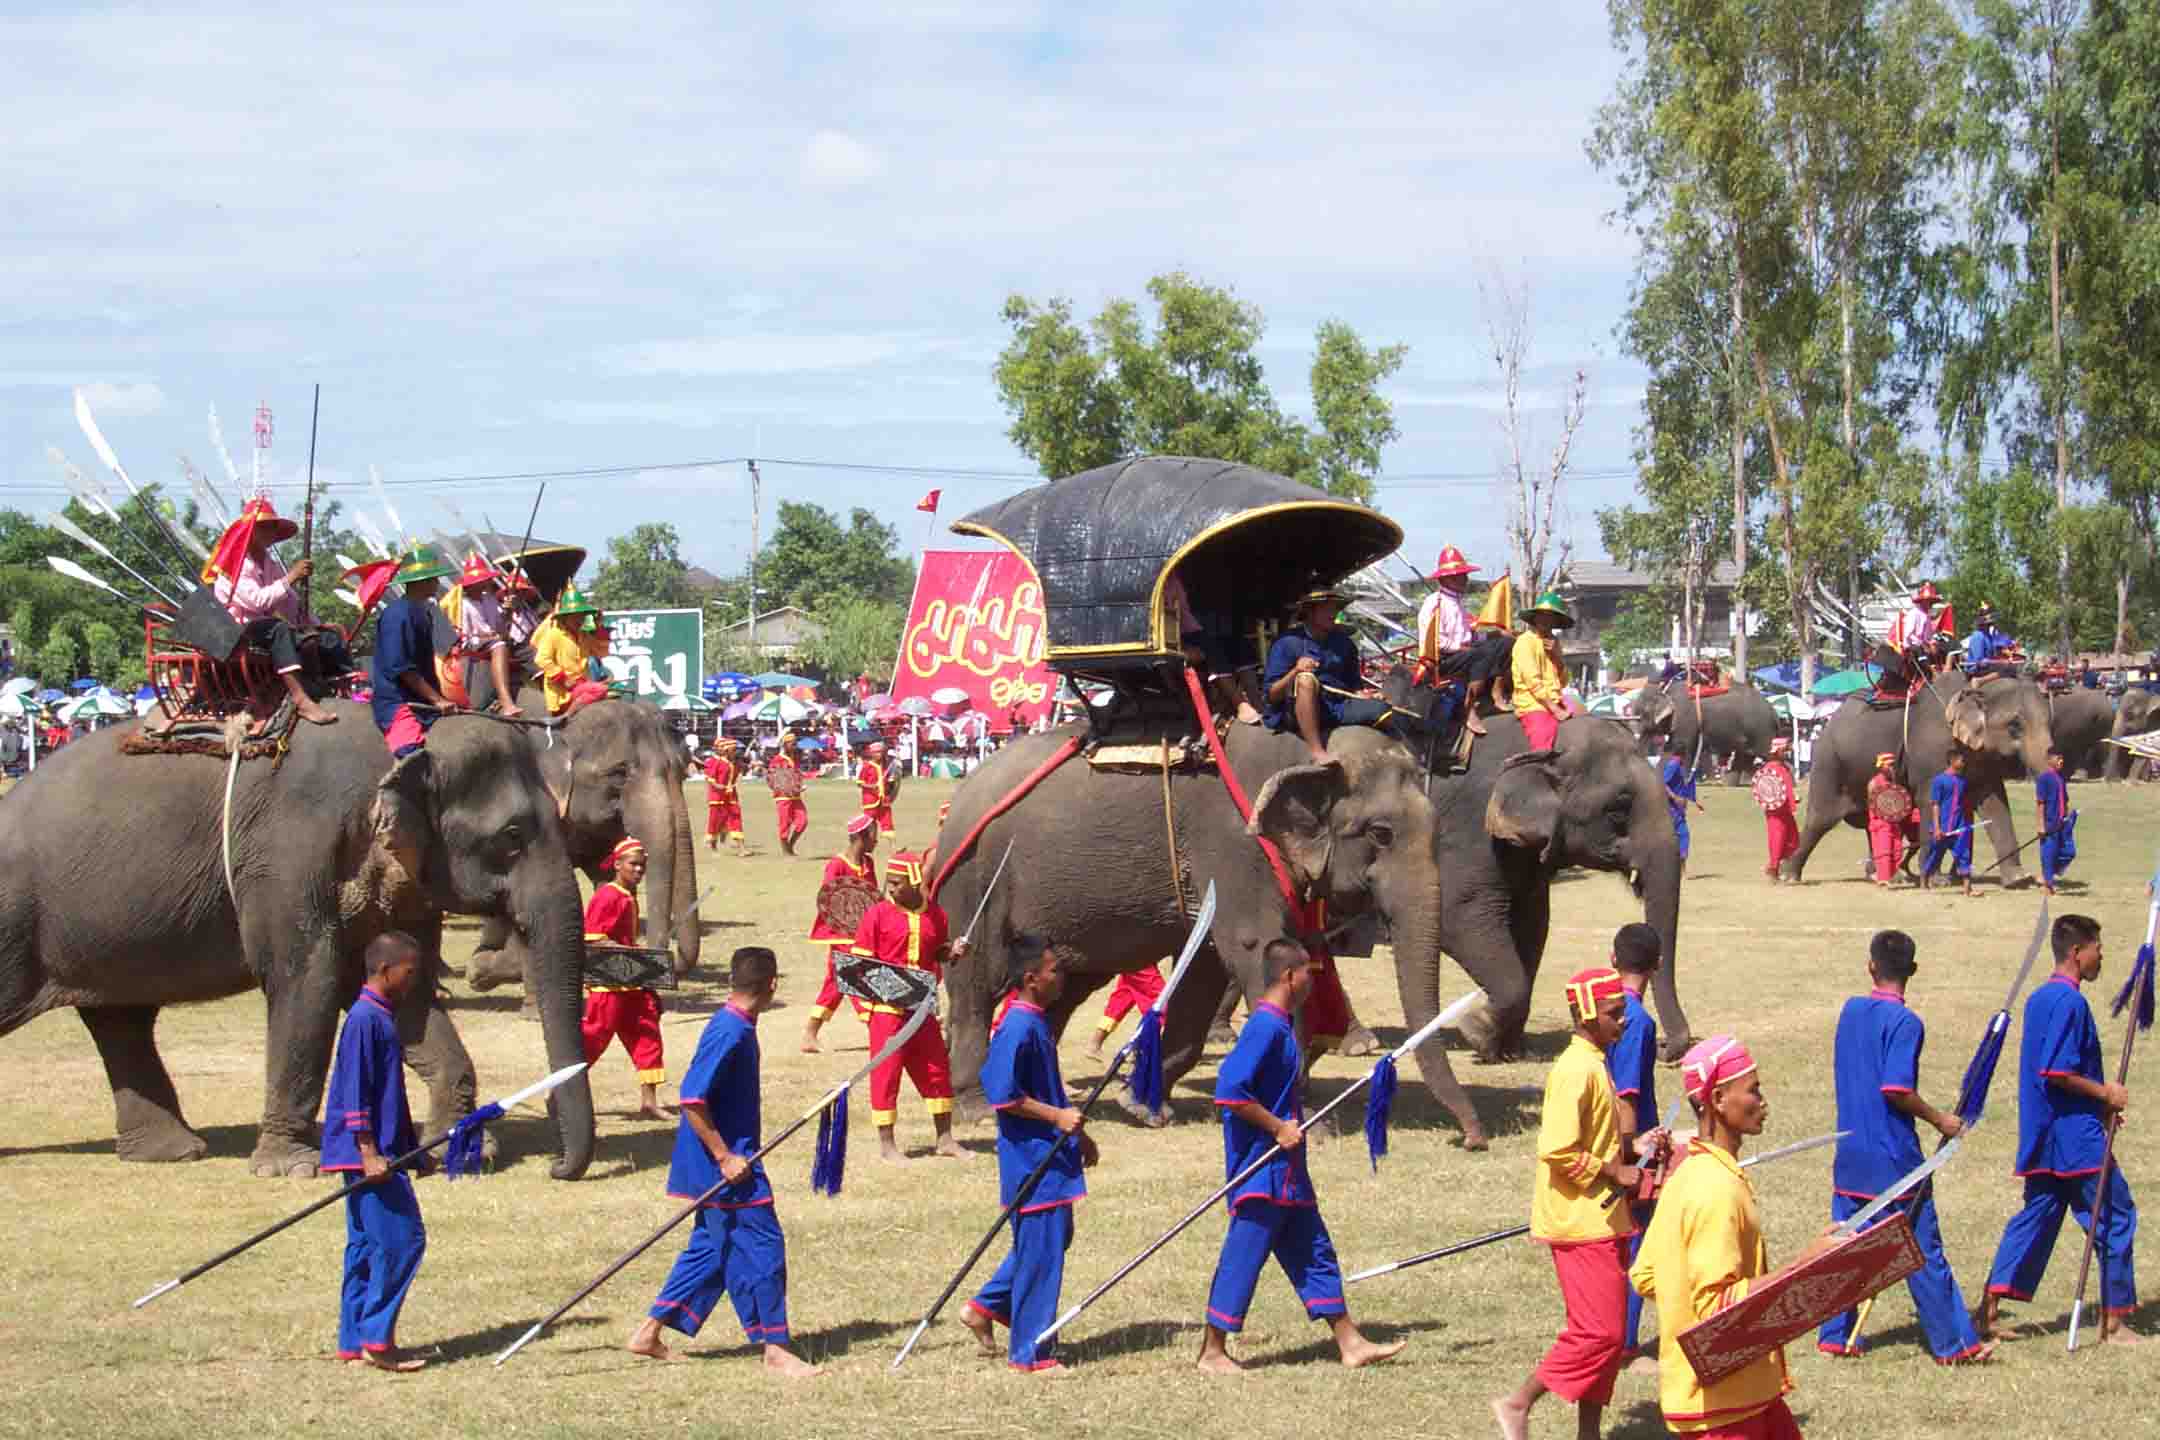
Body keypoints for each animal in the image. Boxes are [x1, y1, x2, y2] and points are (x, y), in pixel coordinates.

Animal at [0, 699, 596, 1183]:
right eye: (512, 836)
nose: (555, 1166)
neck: (397, 745)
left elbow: (403, 988)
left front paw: (471, 1148)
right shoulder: (287, 855)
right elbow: (309, 977)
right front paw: (292, 1169)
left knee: (122, 1022)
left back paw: (173, 1153)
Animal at [937, 725, 1477, 1139]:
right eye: (1380, 833)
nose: (1472, 1139)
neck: (1308, 751)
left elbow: (1206, 966)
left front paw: (1143, 1105)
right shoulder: (1234, 847)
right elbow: (1259, 949)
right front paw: (1310, 1128)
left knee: (1064, 988)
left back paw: (1036, 1096)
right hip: (974, 879)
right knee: (977, 981)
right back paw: (979, 1108)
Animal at [1624, 682, 1779, 781]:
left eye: (1642, 715)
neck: (1665, 692)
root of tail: (1773, 710)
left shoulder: (1686, 717)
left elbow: (1679, 747)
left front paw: (1683, 778)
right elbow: (1671, 748)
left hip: (1761, 729)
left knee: (1765, 755)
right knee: (1746, 755)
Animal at [1779, 677, 2047, 889]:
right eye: (2015, 726)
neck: (1976, 687)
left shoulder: (1981, 756)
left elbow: (1995, 803)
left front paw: (2019, 880)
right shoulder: (1930, 752)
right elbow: (1930, 800)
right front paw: (1937, 882)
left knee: (1872, 823)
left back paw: (1885, 876)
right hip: (1829, 762)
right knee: (1820, 819)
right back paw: (1788, 876)